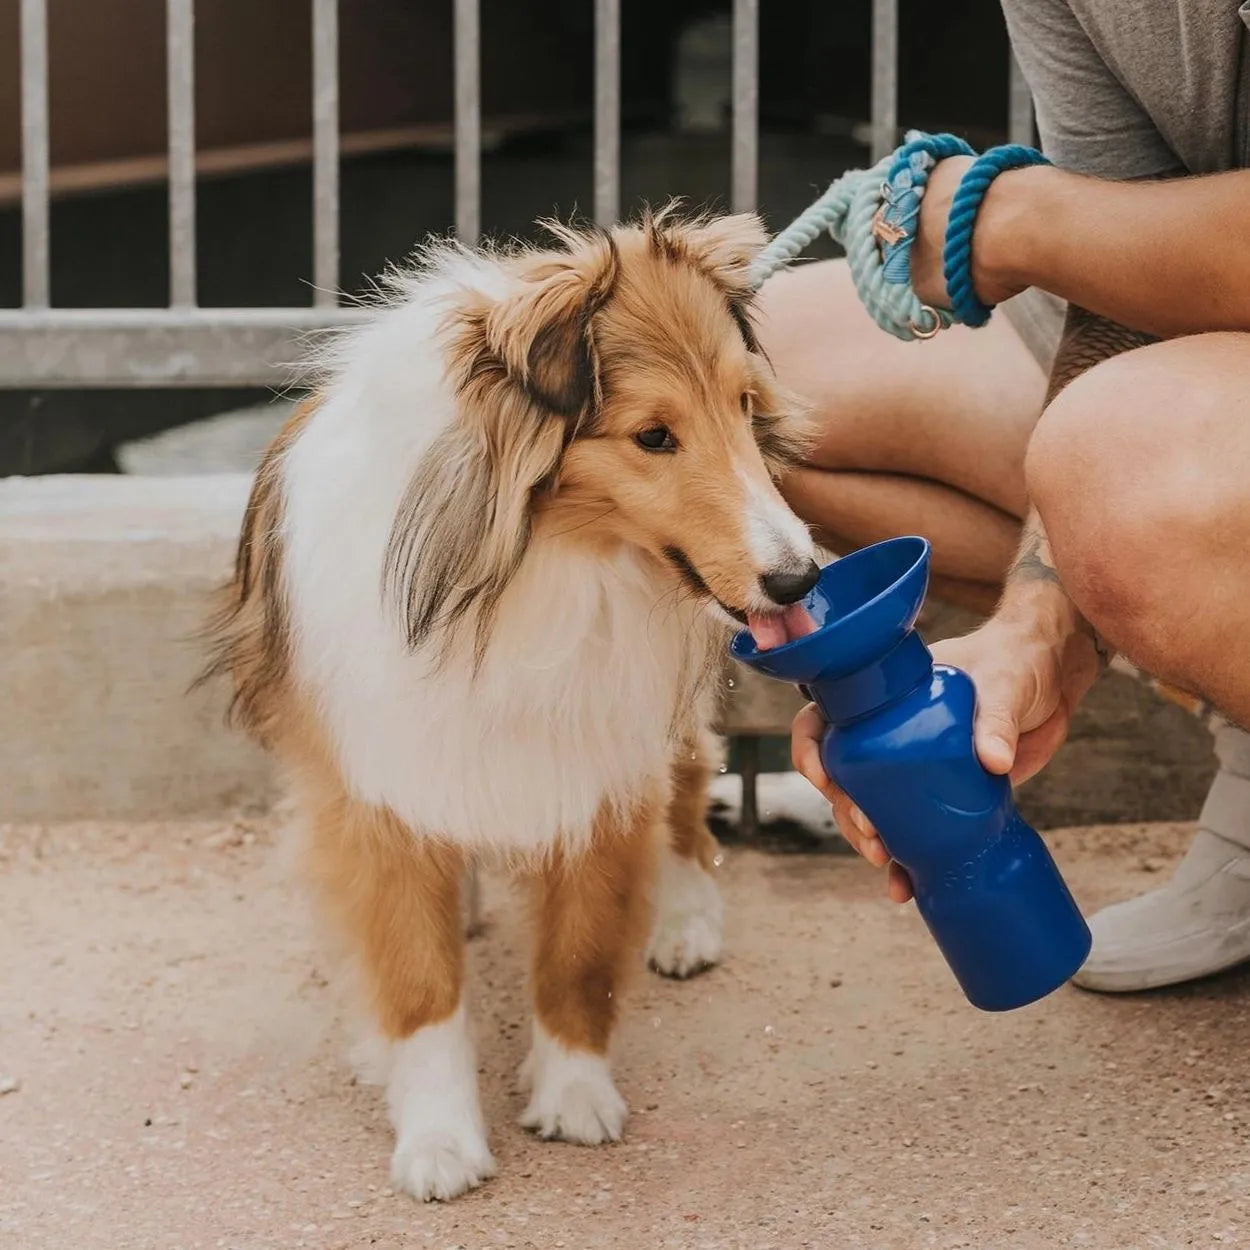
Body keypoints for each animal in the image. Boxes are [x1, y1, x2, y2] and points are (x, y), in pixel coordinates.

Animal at [202, 207, 820, 1200]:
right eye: (654, 437)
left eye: (742, 407)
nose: (799, 578)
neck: (534, 564)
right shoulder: (376, 787)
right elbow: (419, 982)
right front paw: (439, 1136)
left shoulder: (602, 767)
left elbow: (578, 956)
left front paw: (573, 1094)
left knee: (691, 794)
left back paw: (686, 921)